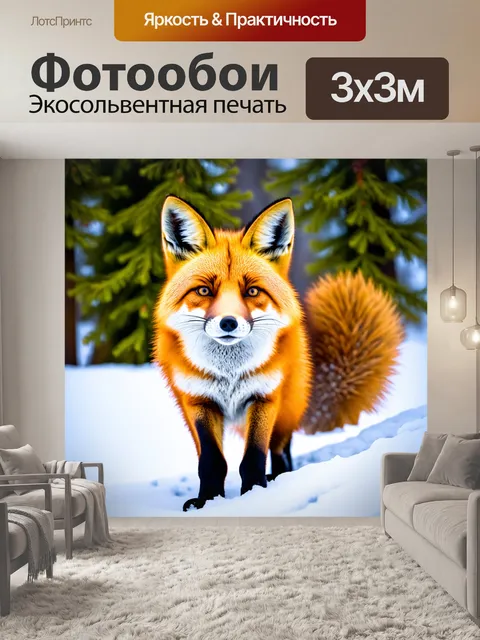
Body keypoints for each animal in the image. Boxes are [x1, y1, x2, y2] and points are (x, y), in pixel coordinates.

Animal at [154, 195, 312, 511]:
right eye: (204, 290)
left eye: (251, 292)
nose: (229, 322)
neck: (229, 375)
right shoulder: (199, 402)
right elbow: (212, 462)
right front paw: (208, 500)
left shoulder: (264, 397)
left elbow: (253, 458)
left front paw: (254, 494)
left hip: (287, 408)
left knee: (281, 452)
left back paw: (280, 479)